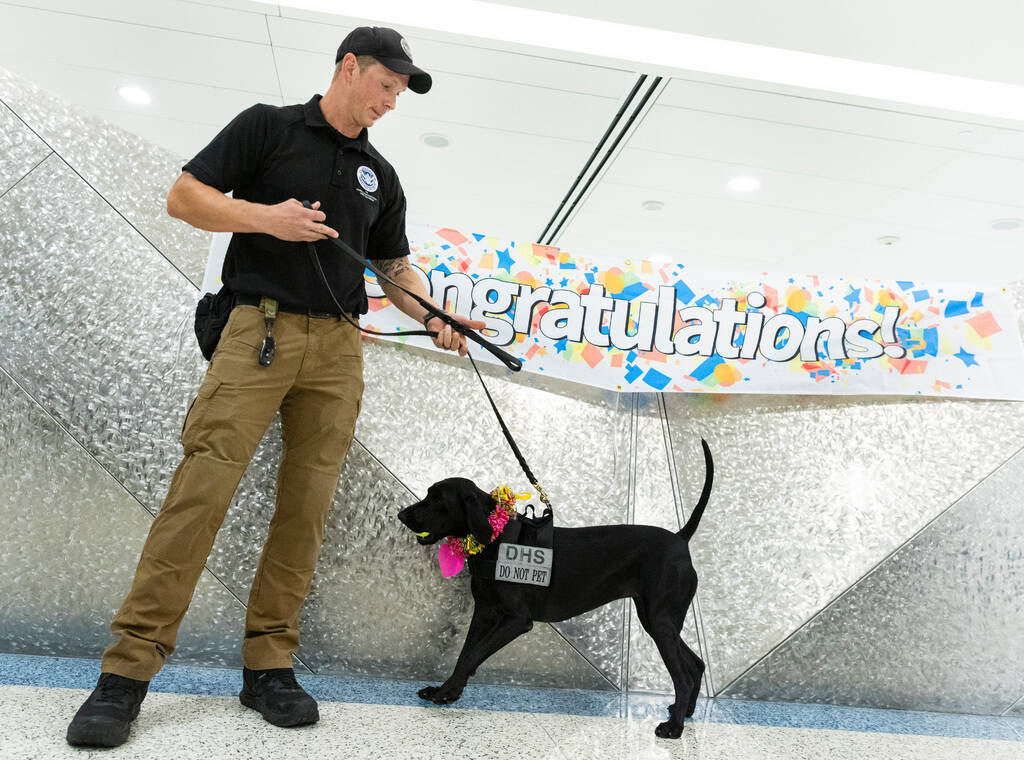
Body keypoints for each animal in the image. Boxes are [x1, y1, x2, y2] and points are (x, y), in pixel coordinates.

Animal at [397, 438, 712, 741]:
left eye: (437, 499)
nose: (402, 515)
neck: (496, 539)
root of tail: (680, 540)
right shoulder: (484, 611)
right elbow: (466, 653)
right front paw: (448, 690)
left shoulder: (516, 620)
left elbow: (474, 655)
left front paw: (446, 692)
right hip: (656, 620)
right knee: (696, 664)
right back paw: (685, 712)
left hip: (660, 621)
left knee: (683, 676)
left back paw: (674, 727)